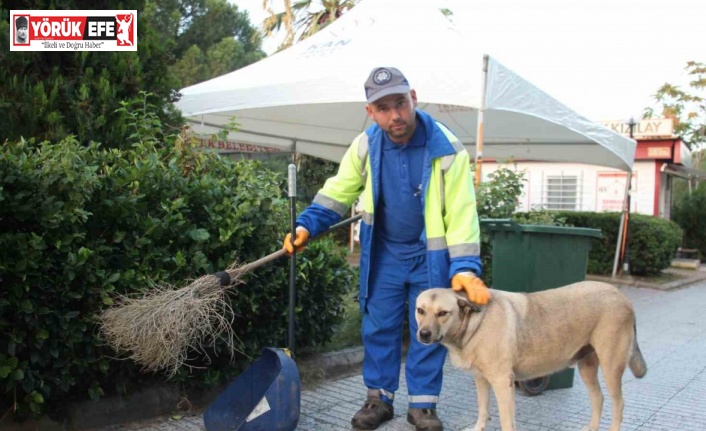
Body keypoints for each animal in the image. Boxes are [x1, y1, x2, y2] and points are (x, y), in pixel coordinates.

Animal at [416, 282, 648, 430]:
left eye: (442, 313)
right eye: (420, 310)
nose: (423, 334)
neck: (474, 323)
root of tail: (622, 297)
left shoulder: (502, 383)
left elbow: (506, 422)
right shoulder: (481, 380)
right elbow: (483, 410)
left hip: (611, 367)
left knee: (618, 404)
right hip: (587, 367)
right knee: (598, 397)